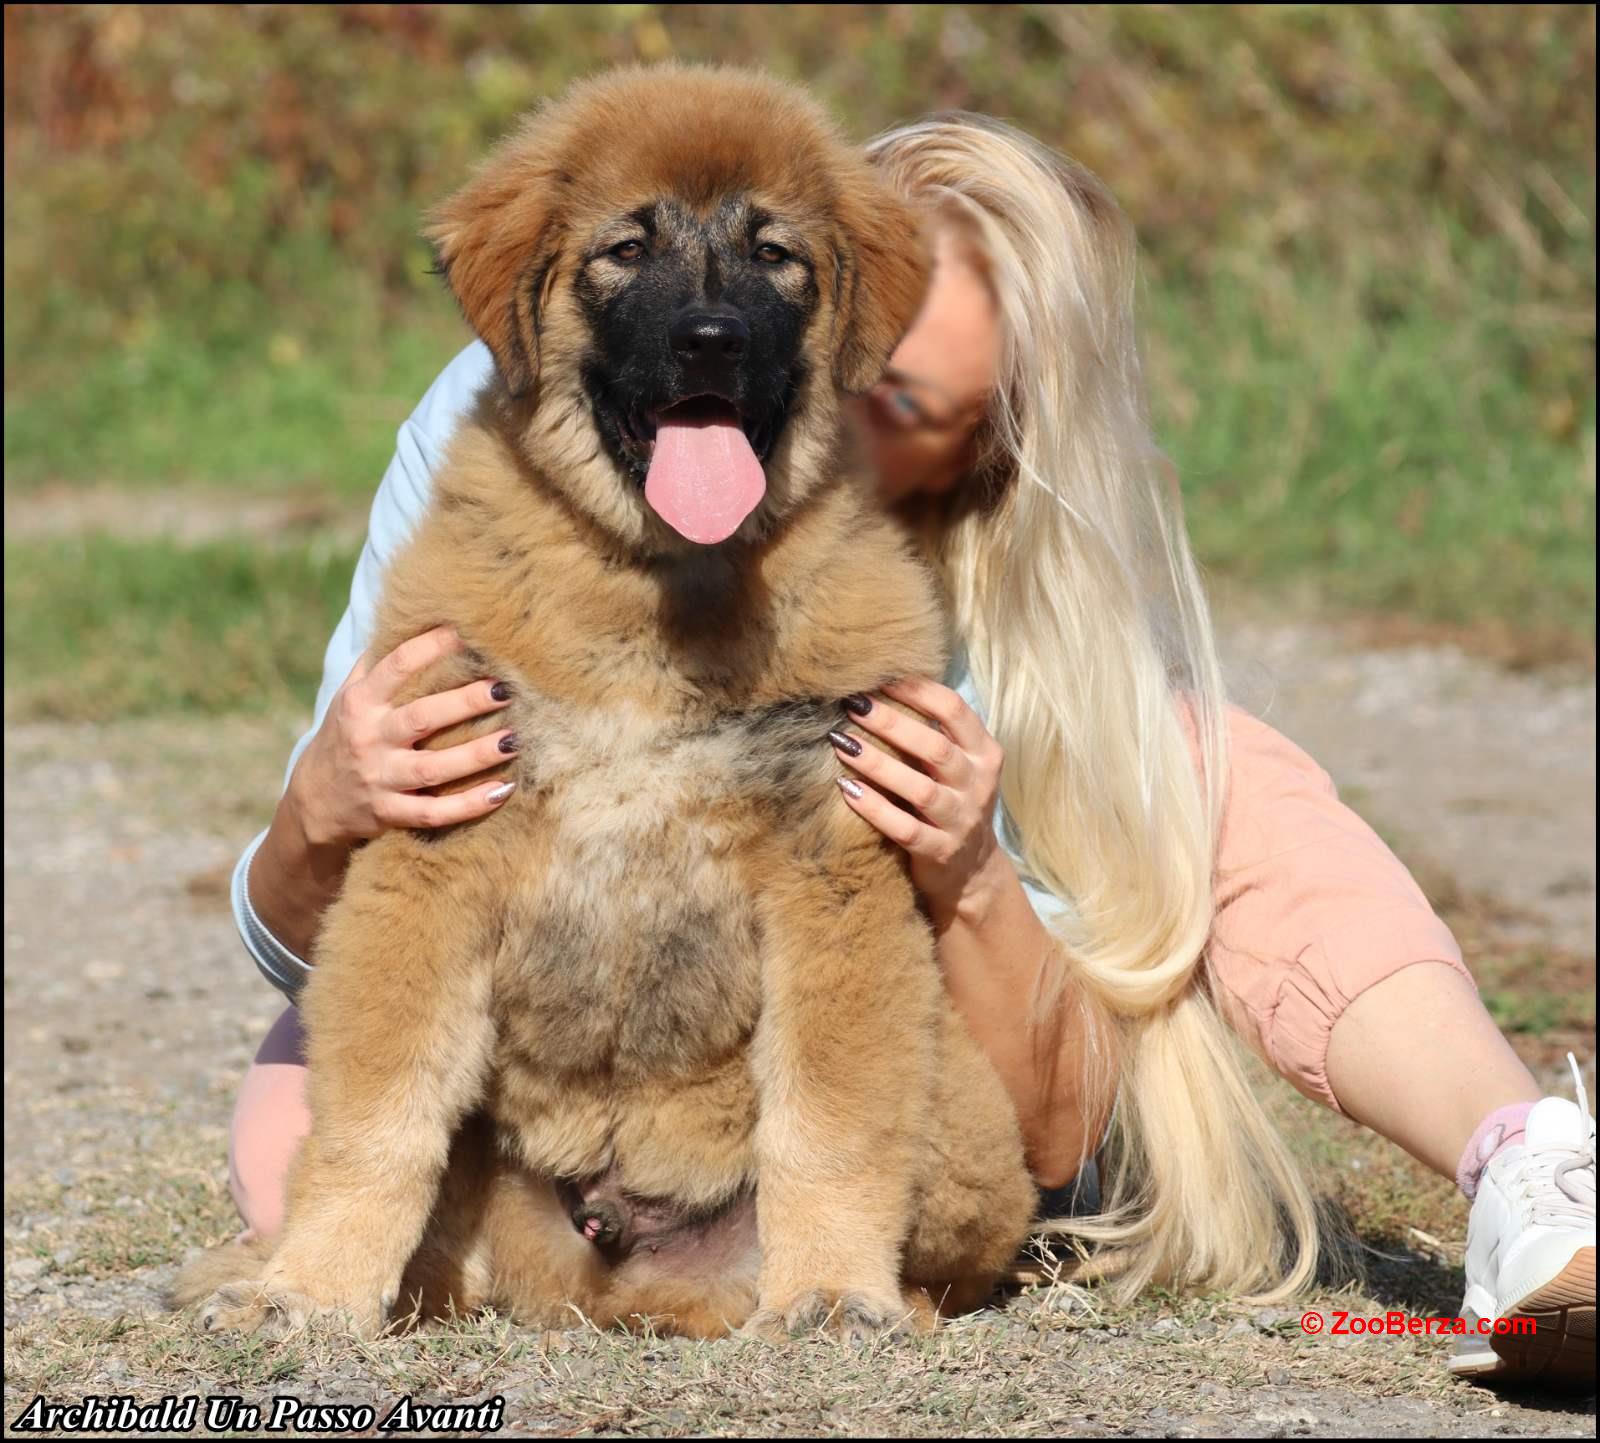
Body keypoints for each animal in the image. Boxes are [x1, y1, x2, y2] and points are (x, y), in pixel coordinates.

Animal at [175, 61, 1036, 1350]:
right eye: (627, 250)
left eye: (774, 254)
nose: (710, 338)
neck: (659, 592)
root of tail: (617, 1268)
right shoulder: (433, 842)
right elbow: (379, 1114)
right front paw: (312, 1287)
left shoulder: (829, 869)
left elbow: (828, 1117)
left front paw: (833, 1290)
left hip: (964, 1090)